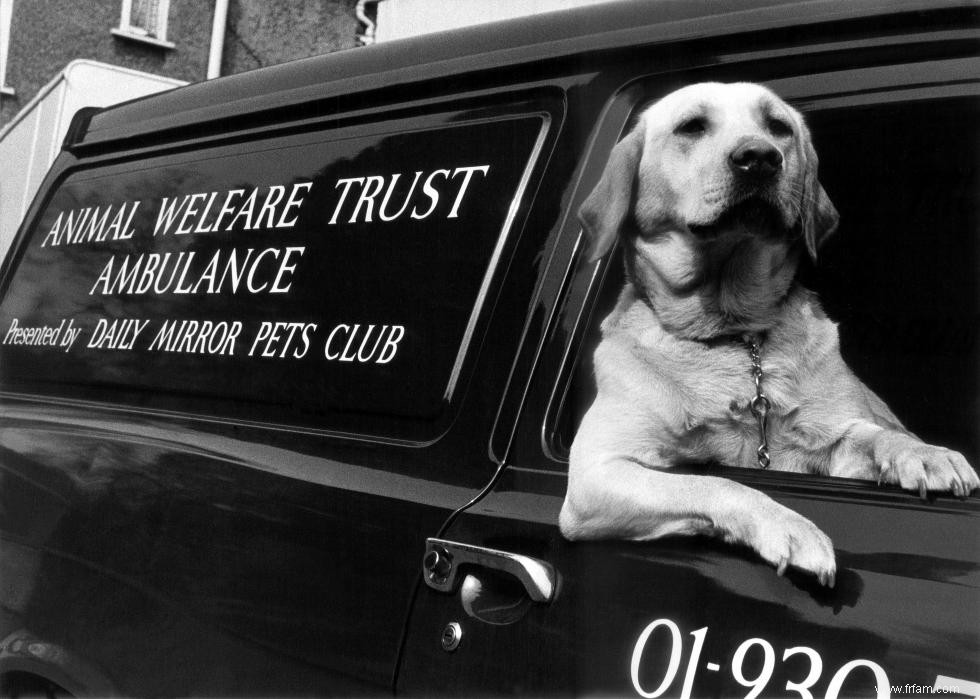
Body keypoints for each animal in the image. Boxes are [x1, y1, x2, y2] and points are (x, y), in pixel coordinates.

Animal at [564, 82, 976, 588]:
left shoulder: (829, 441)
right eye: (691, 127)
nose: (760, 157)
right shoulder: (596, 473)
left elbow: (872, 437)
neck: (735, 329)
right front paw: (789, 526)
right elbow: (714, 481)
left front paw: (924, 453)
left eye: (778, 127)